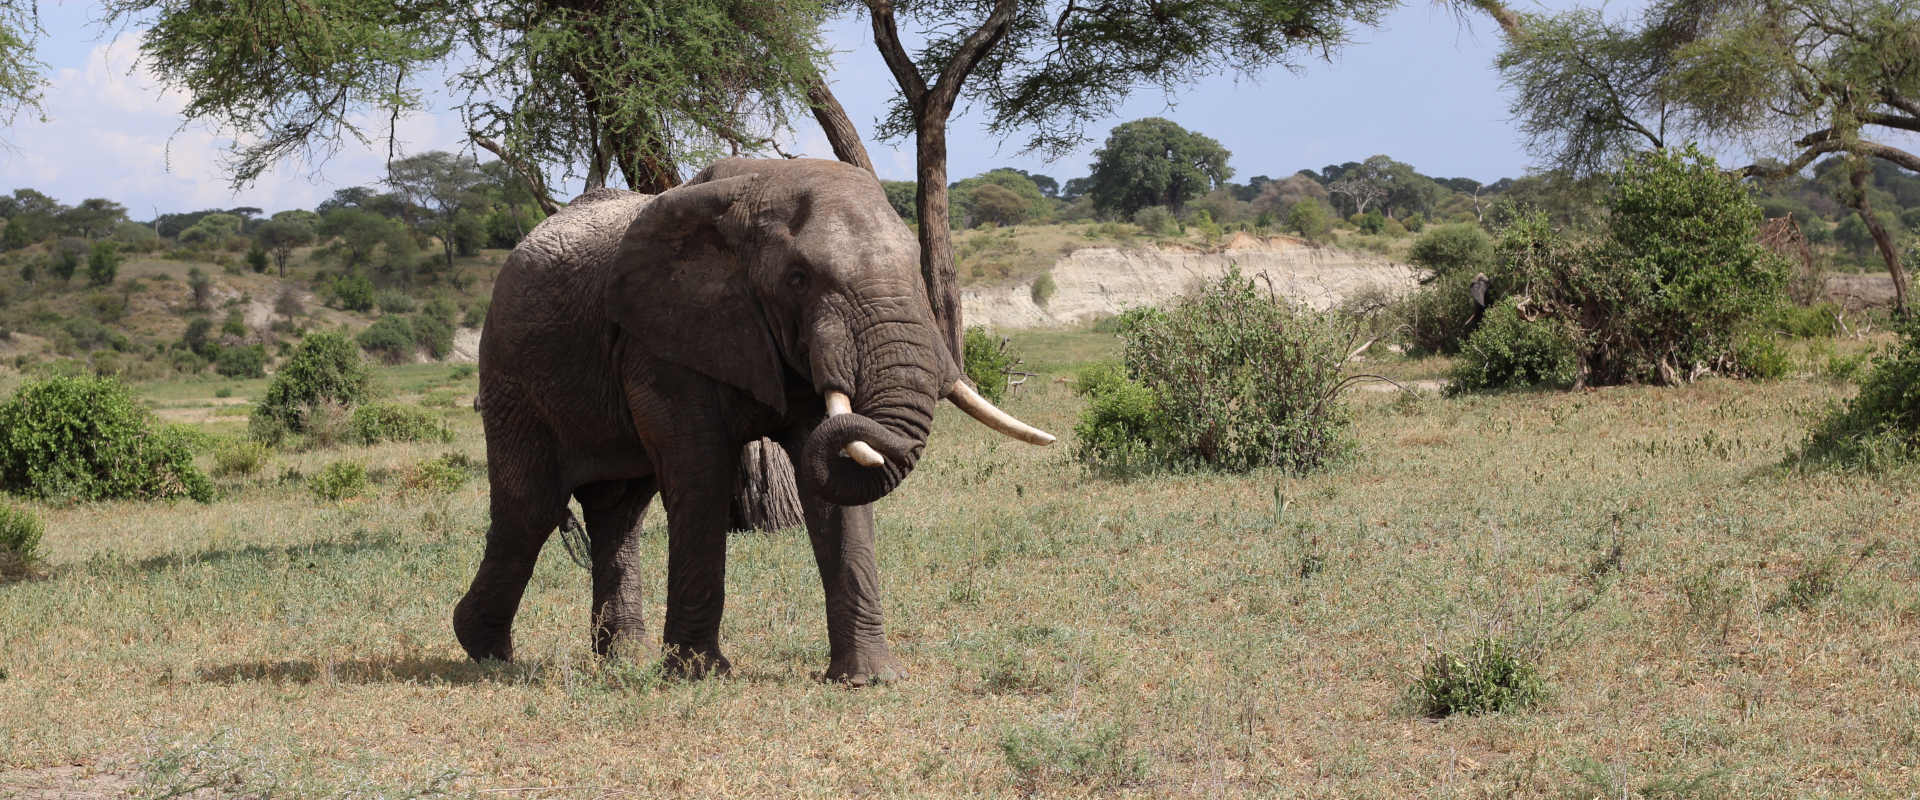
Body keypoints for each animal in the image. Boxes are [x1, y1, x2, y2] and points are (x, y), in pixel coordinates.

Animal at [453, 157, 1052, 686]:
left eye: (913, 265)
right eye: (798, 278)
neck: (758, 184)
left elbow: (831, 484)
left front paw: (871, 680)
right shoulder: (664, 341)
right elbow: (701, 476)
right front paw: (699, 675)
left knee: (619, 513)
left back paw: (624, 658)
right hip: (511, 372)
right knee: (532, 506)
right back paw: (486, 652)